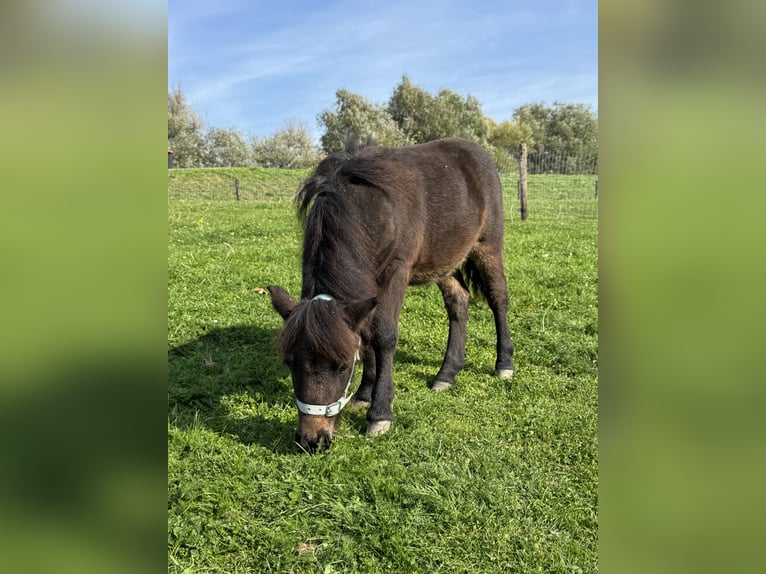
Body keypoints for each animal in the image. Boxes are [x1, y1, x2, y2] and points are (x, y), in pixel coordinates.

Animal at [268, 136, 515, 452]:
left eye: (343, 366)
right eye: (289, 361)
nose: (312, 440)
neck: (365, 208)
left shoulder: (396, 272)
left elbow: (384, 336)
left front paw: (380, 413)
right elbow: (366, 336)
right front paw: (363, 394)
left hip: (488, 245)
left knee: (498, 298)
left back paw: (504, 364)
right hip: (443, 260)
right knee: (458, 301)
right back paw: (447, 374)